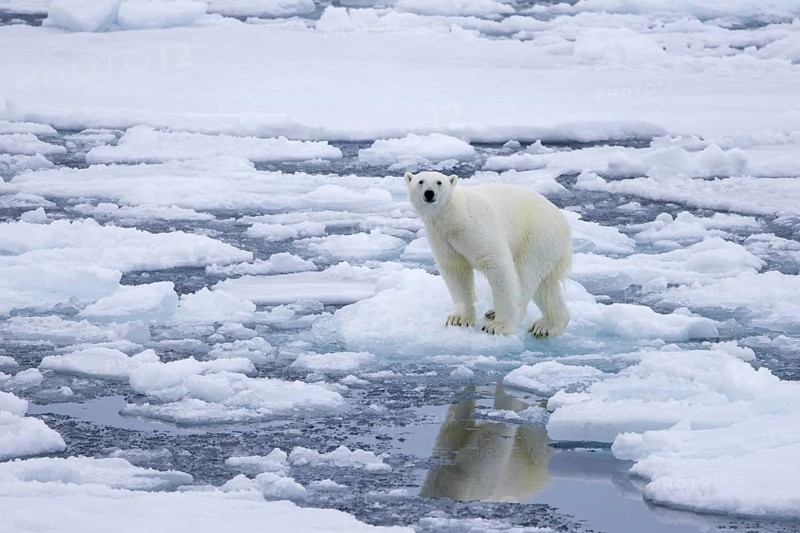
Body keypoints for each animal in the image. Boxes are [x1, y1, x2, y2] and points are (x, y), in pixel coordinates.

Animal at [405, 170, 571, 337]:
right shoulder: (441, 238)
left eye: (439, 182)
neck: (456, 218)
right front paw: (458, 319)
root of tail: (564, 222)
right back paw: (546, 326)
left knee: (525, 274)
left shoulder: (478, 228)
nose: (429, 193)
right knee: (546, 287)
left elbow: (498, 265)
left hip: (537, 236)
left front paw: (498, 326)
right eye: (420, 181)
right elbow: (456, 271)